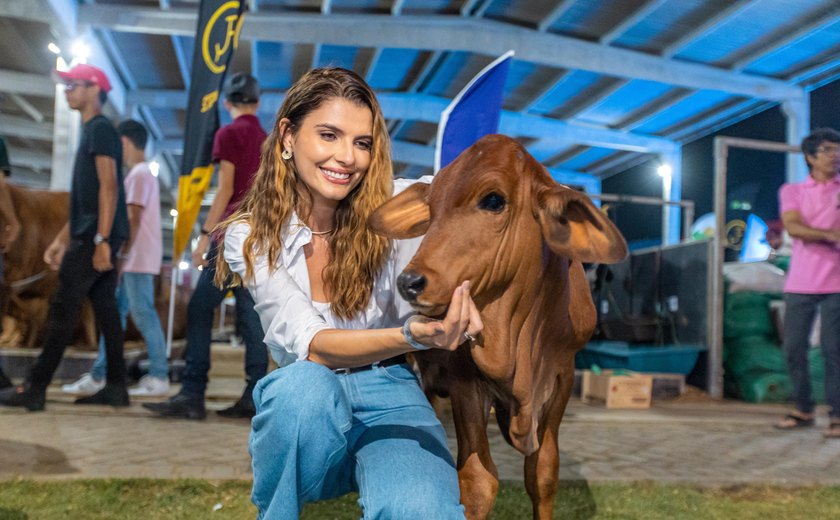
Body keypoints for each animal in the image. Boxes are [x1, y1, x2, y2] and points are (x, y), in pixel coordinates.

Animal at [370, 135, 628, 520]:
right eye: (432, 207)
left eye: (493, 200)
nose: (409, 282)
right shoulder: (464, 379)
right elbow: (478, 482)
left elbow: (543, 474)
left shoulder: (563, 375)